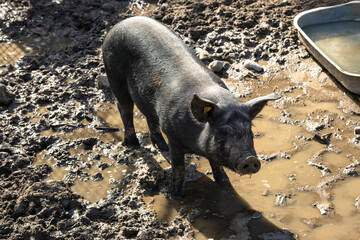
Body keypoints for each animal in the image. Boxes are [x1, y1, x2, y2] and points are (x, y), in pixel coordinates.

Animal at [102, 15, 280, 198]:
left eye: (249, 130)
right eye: (223, 132)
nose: (250, 160)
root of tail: (120, 24)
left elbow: (217, 165)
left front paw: (224, 183)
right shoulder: (173, 135)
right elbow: (179, 169)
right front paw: (174, 196)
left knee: (150, 118)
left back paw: (162, 147)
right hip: (114, 76)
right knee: (125, 110)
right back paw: (133, 144)